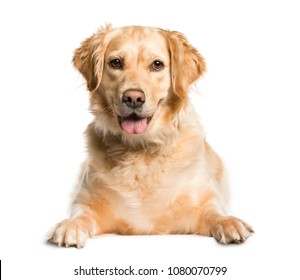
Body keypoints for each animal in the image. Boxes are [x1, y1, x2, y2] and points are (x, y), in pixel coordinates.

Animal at [47, 24, 253, 247]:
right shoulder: (87, 200)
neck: (141, 149)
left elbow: (213, 213)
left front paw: (228, 222)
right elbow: (82, 214)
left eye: (157, 64)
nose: (133, 98)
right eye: (116, 63)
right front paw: (70, 226)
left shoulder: (205, 200)